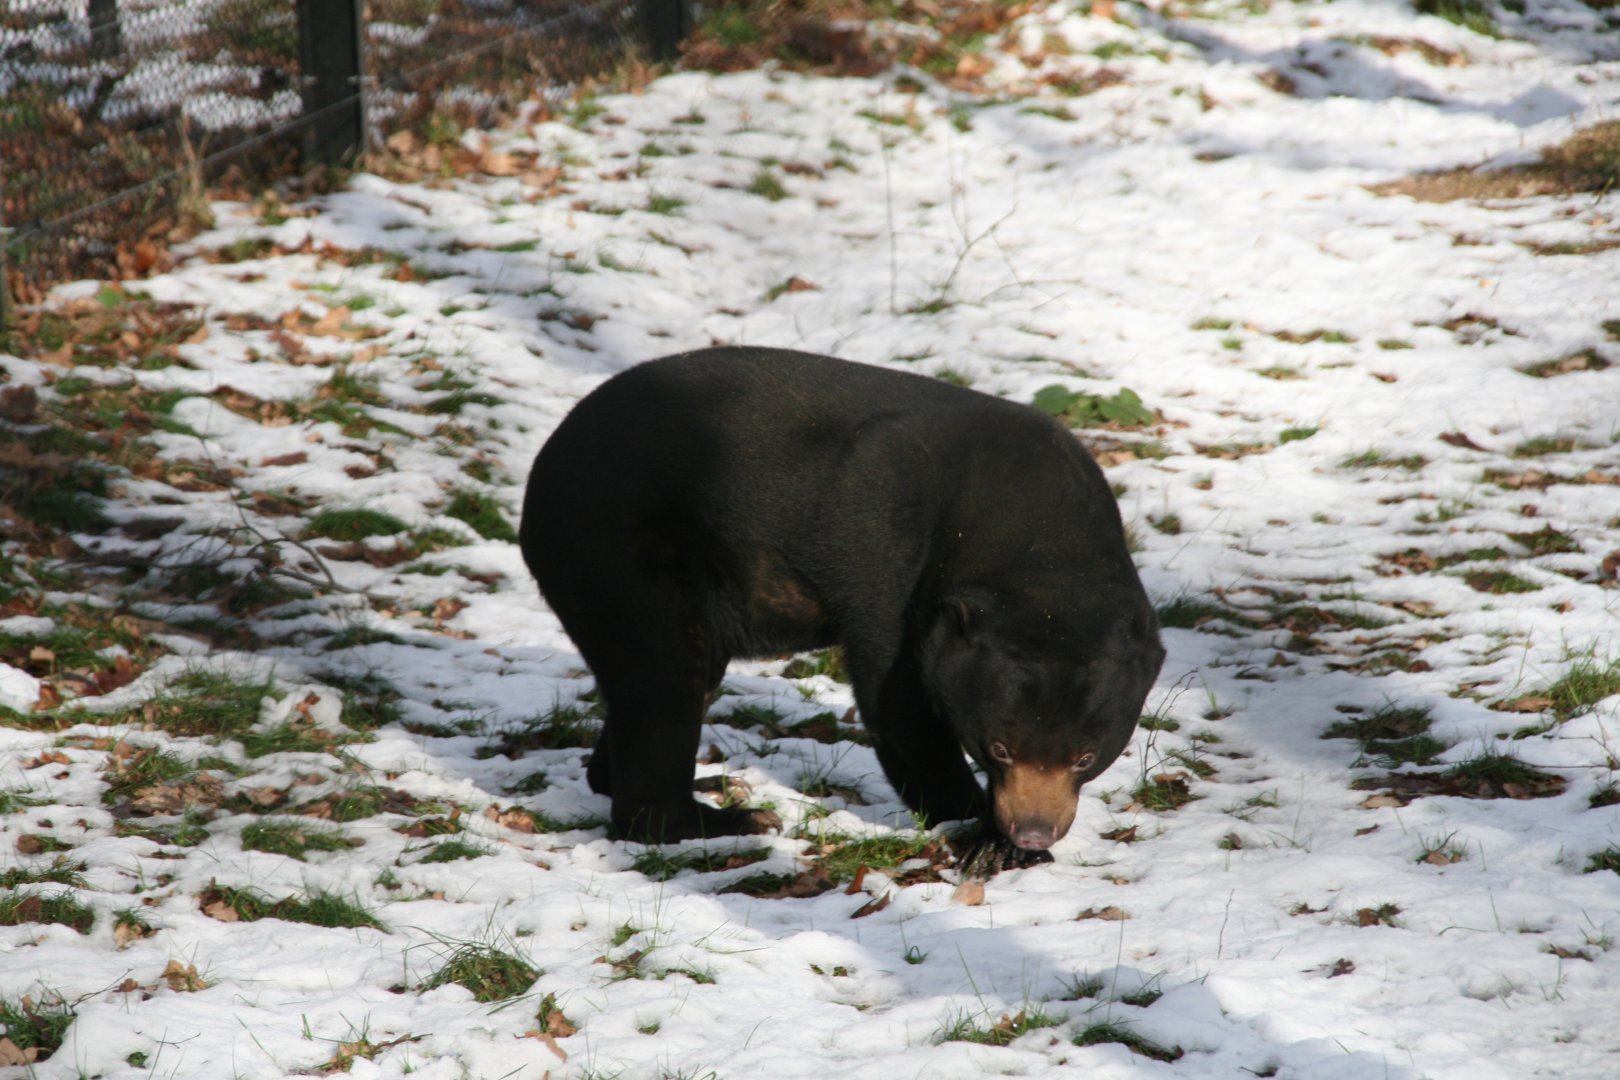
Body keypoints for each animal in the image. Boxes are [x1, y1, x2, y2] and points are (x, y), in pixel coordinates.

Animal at [520, 347, 1164, 873]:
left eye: (1085, 757)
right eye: (999, 747)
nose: (1033, 831)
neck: (1041, 537)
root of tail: (543, 465)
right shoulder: (893, 562)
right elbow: (896, 699)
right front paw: (985, 837)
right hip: (621, 554)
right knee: (662, 680)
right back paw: (721, 820)